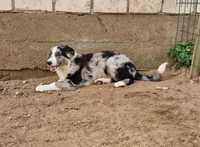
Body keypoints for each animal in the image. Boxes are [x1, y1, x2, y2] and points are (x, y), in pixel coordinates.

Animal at [35, 44, 167, 92]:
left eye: (58, 54)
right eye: (50, 55)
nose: (48, 62)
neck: (67, 64)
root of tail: (132, 65)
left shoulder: (72, 82)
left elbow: (56, 83)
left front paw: (40, 87)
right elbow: (57, 81)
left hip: (111, 62)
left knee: (130, 79)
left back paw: (120, 83)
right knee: (113, 78)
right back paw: (101, 80)